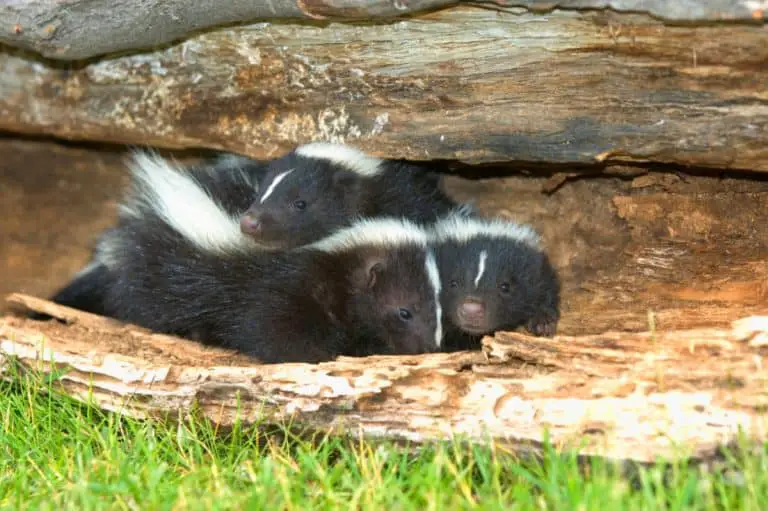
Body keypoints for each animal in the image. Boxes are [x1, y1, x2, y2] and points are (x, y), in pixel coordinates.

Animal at [49, 152, 444, 364]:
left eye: (438, 306)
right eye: (404, 311)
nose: (429, 348)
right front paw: (326, 355)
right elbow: (279, 335)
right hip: (161, 271)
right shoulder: (279, 291)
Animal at [428, 213, 560, 352]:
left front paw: (543, 322)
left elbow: (545, 287)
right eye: (453, 283)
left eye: (505, 286)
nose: (471, 310)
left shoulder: (537, 271)